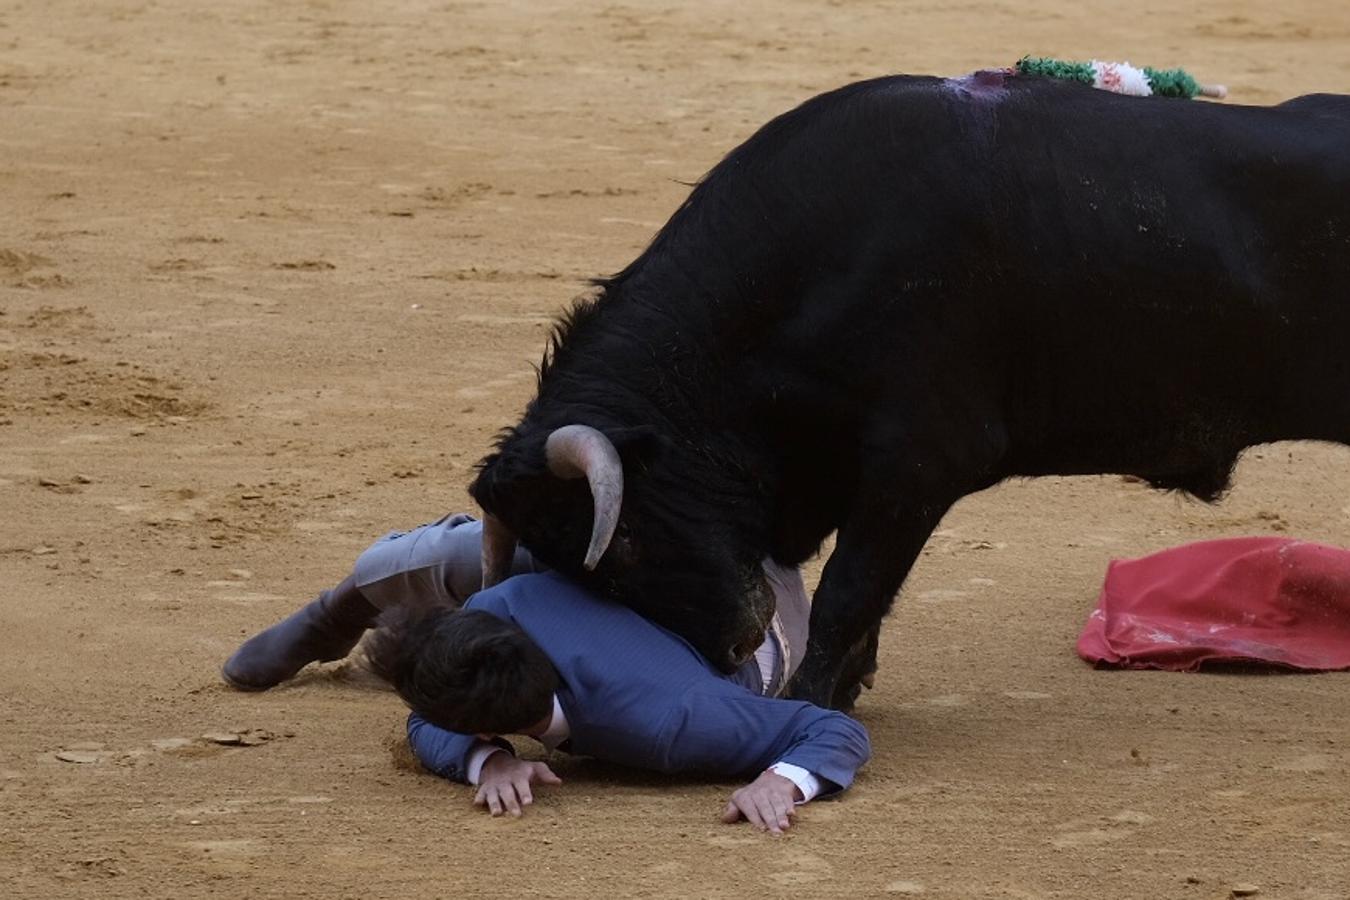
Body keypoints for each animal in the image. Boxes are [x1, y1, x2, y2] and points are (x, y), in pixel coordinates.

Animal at [467, 72, 1350, 712]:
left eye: (625, 544)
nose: (730, 650)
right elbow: (870, 594)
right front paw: (847, 689)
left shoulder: (919, 461)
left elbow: (849, 590)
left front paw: (808, 701)